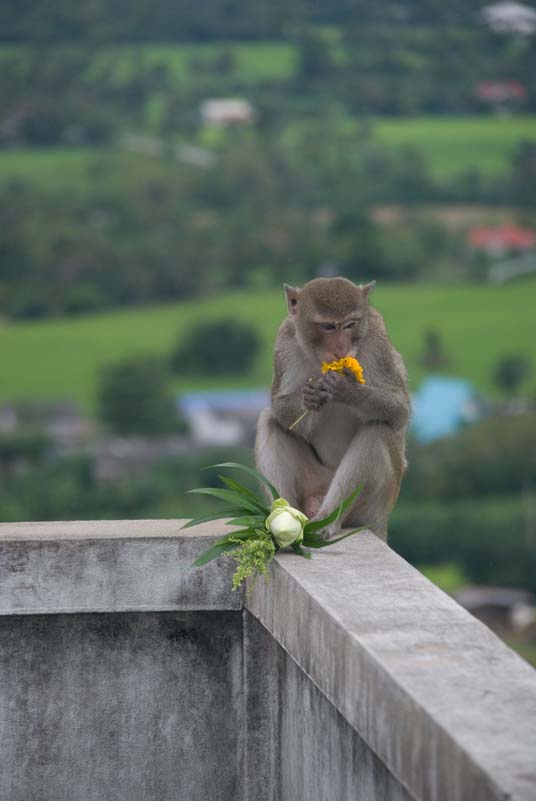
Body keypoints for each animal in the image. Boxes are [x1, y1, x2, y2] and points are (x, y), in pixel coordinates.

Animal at [255, 276, 410, 544]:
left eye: (349, 325)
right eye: (328, 327)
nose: (341, 349)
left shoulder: (377, 340)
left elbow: (400, 410)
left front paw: (348, 390)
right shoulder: (285, 341)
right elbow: (280, 407)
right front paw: (309, 398)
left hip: (374, 505)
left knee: (378, 430)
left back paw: (328, 518)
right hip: (313, 484)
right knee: (269, 421)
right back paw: (283, 516)